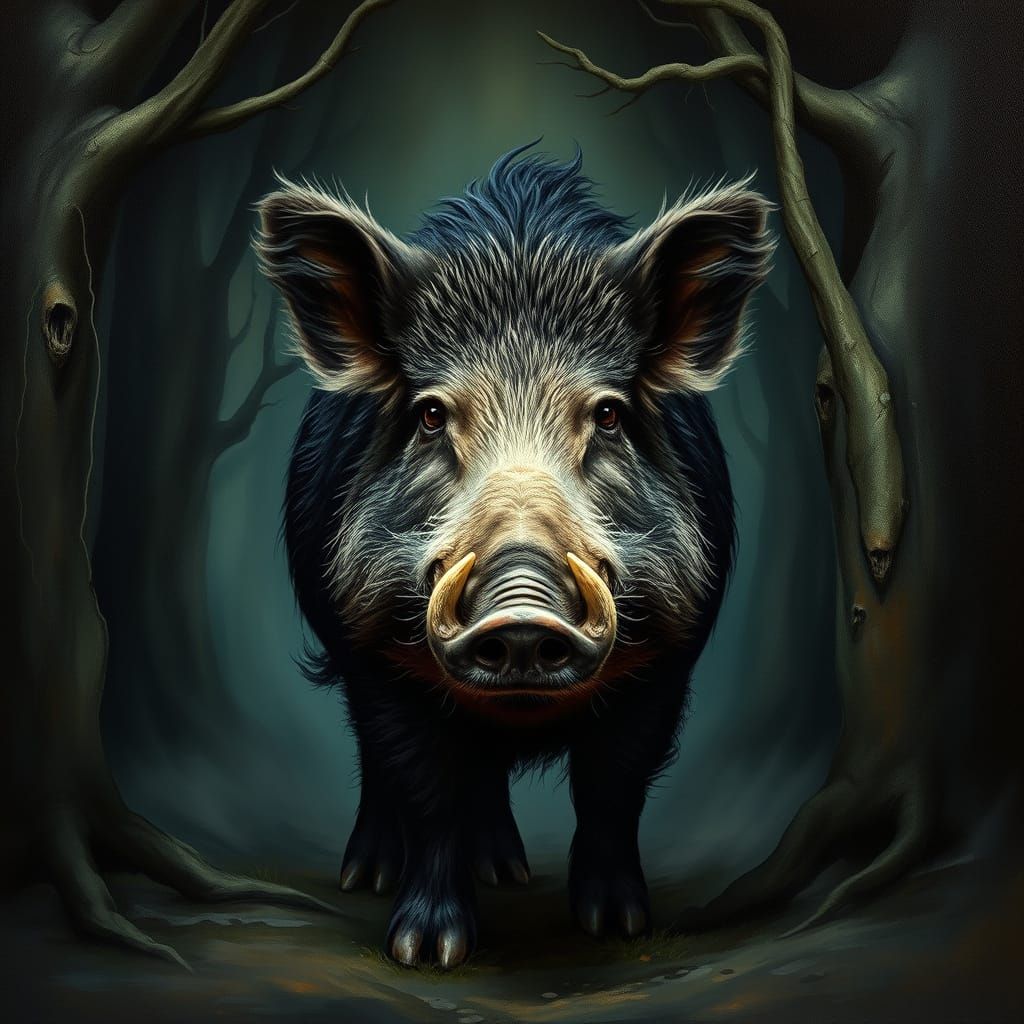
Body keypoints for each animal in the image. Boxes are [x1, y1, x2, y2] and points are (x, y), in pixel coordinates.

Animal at [255, 145, 773, 968]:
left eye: (608, 414)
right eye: (432, 415)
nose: (522, 611)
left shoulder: (668, 661)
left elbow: (613, 785)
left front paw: (618, 928)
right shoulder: (374, 655)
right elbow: (423, 785)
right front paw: (427, 951)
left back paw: (508, 871)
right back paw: (371, 876)